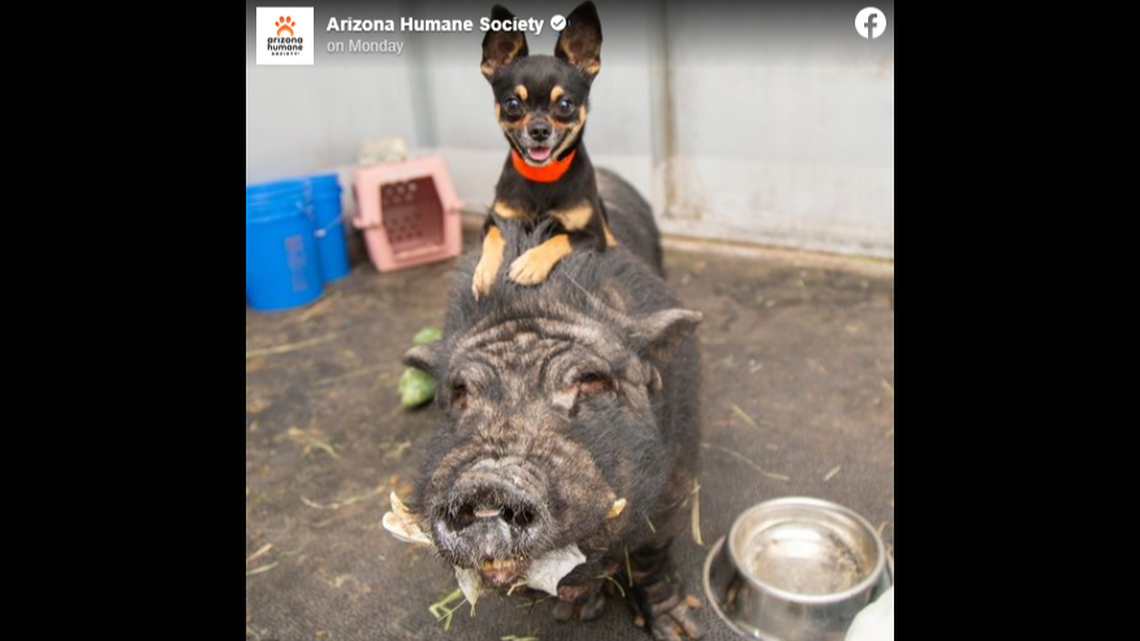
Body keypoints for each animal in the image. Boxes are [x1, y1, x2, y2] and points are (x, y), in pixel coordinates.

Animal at [397, 169, 704, 640]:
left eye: (589, 381)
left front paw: (679, 630)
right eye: (461, 393)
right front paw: (574, 613)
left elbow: (651, 553)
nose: (488, 482)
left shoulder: (679, 478)